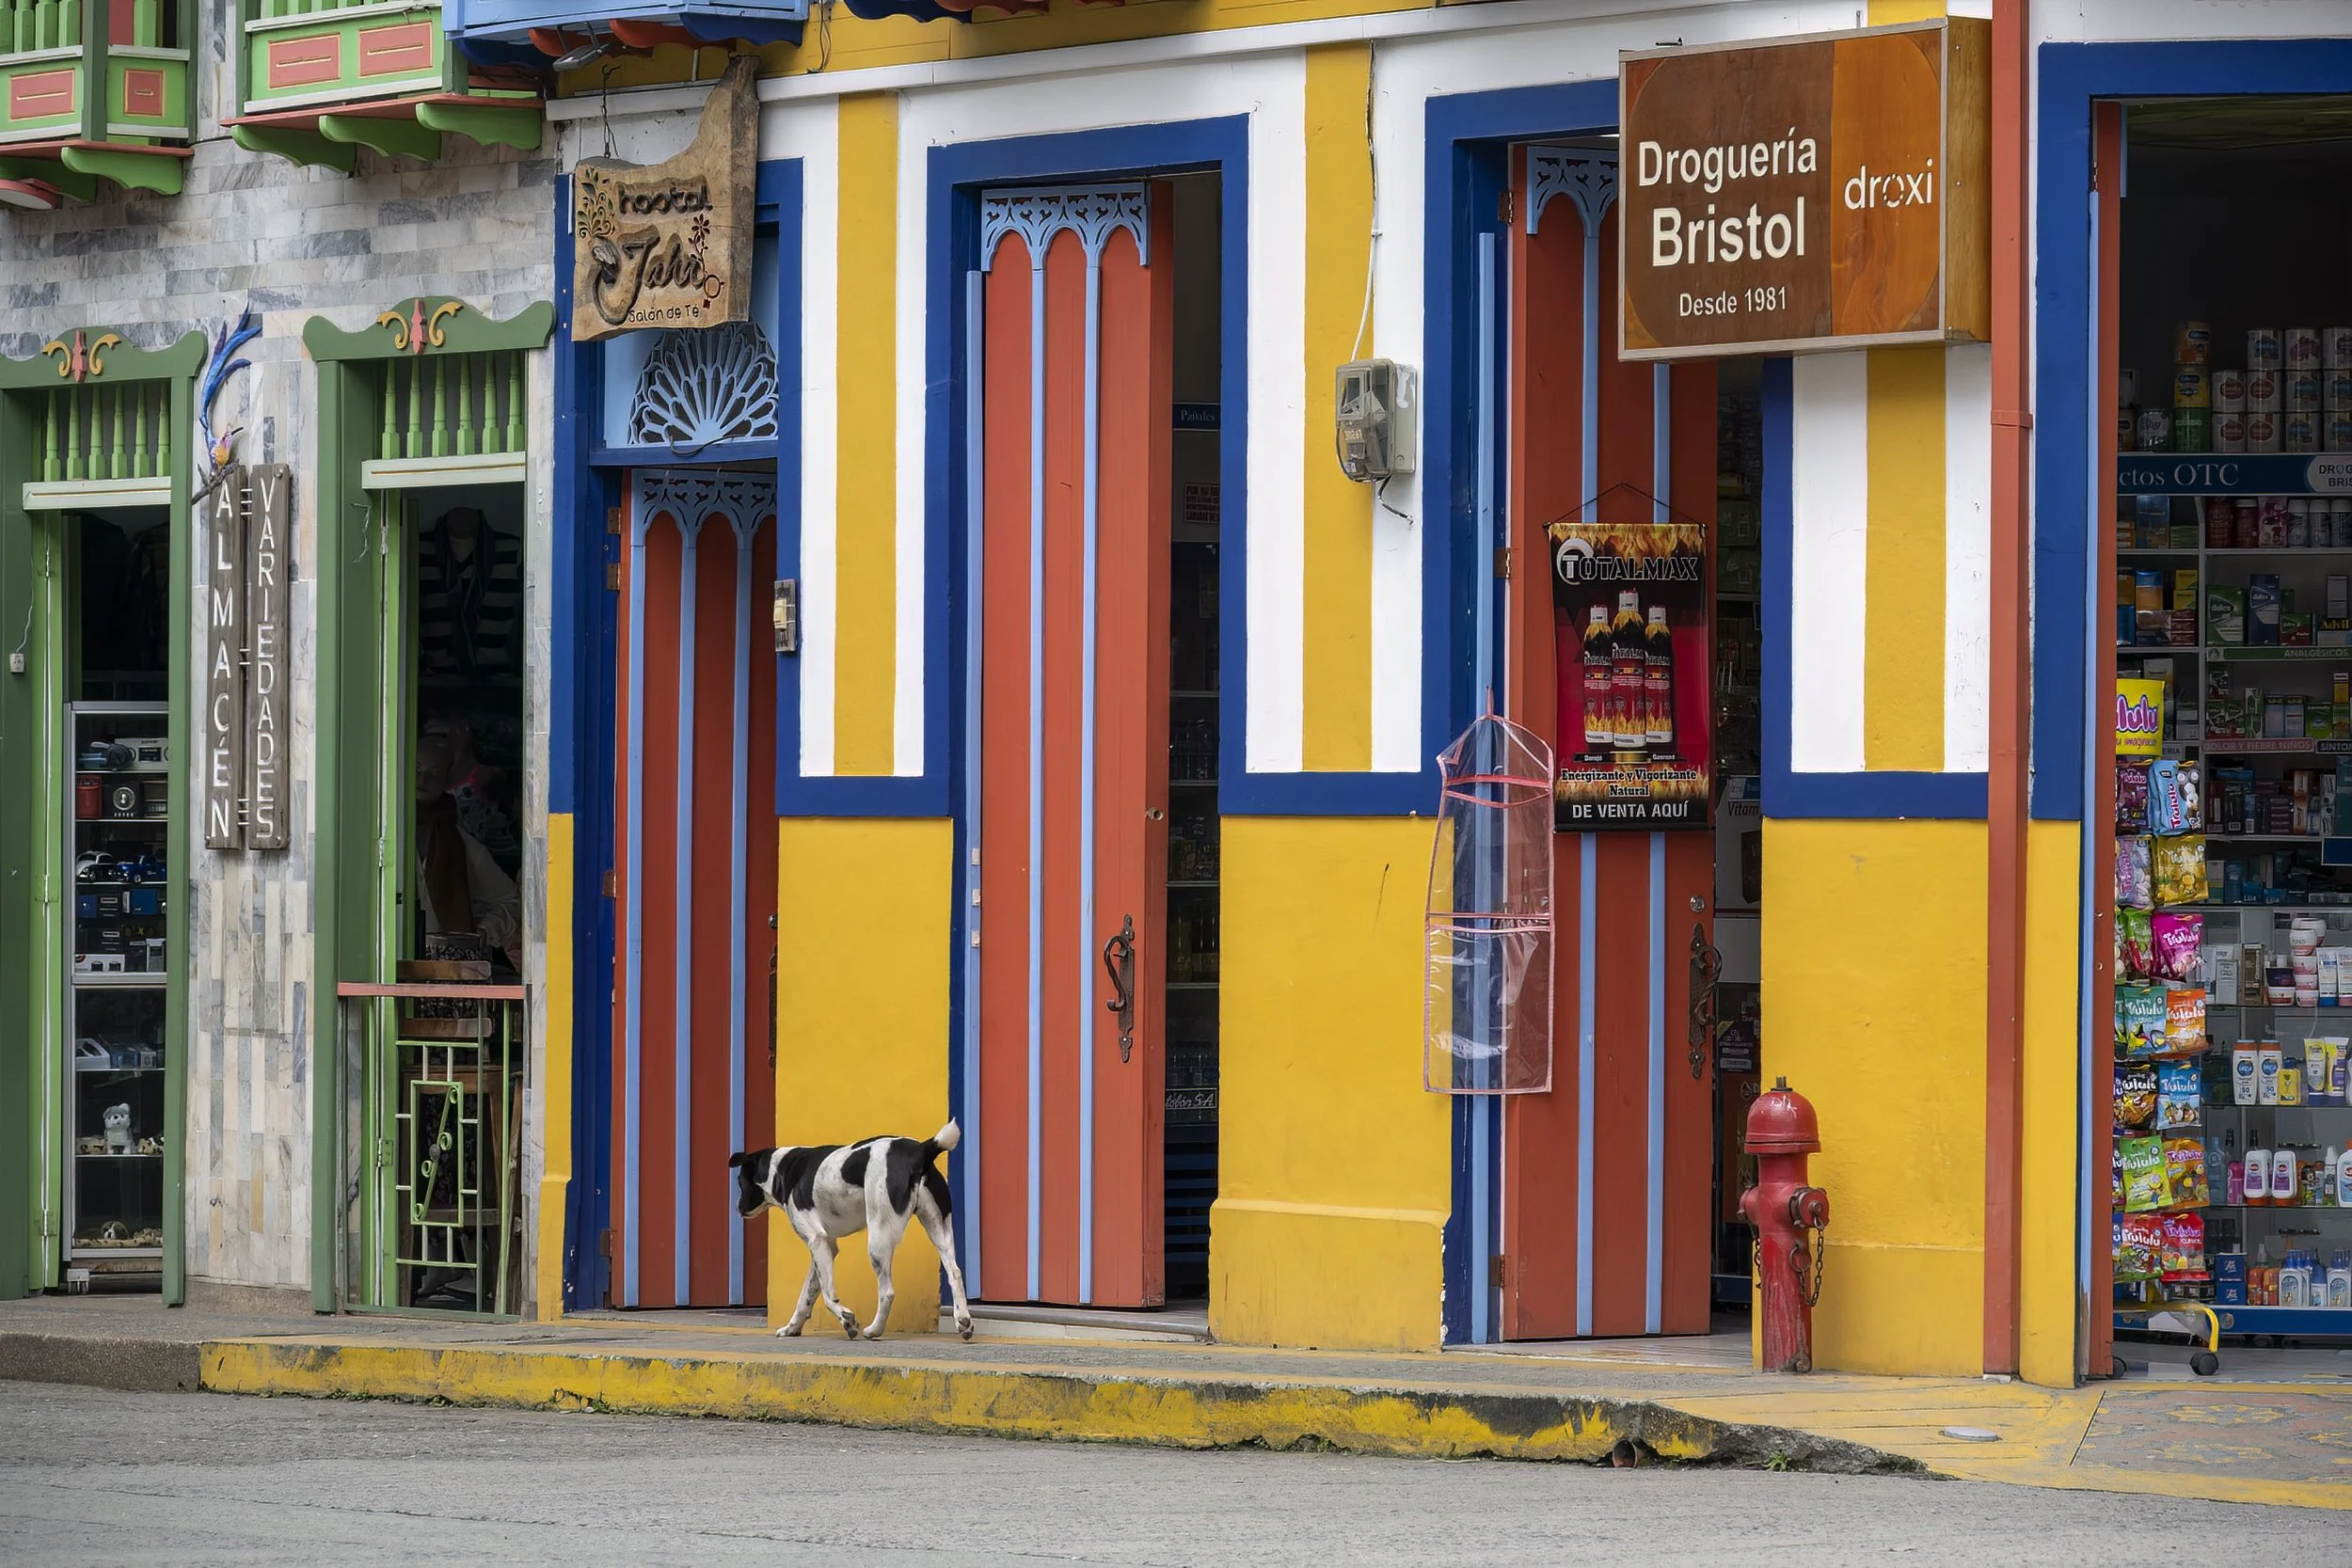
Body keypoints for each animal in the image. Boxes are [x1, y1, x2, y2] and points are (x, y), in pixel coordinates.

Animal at [729, 1121, 974, 1341]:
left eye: (740, 1182)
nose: (737, 1208)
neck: (782, 1170)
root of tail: (921, 1150)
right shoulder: (825, 1246)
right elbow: (807, 1294)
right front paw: (792, 1327)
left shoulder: (816, 1240)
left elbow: (829, 1295)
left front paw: (847, 1321)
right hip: (938, 1229)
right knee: (955, 1272)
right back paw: (963, 1321)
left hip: (878, 1239)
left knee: (887, 1291)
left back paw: (874, 1330)